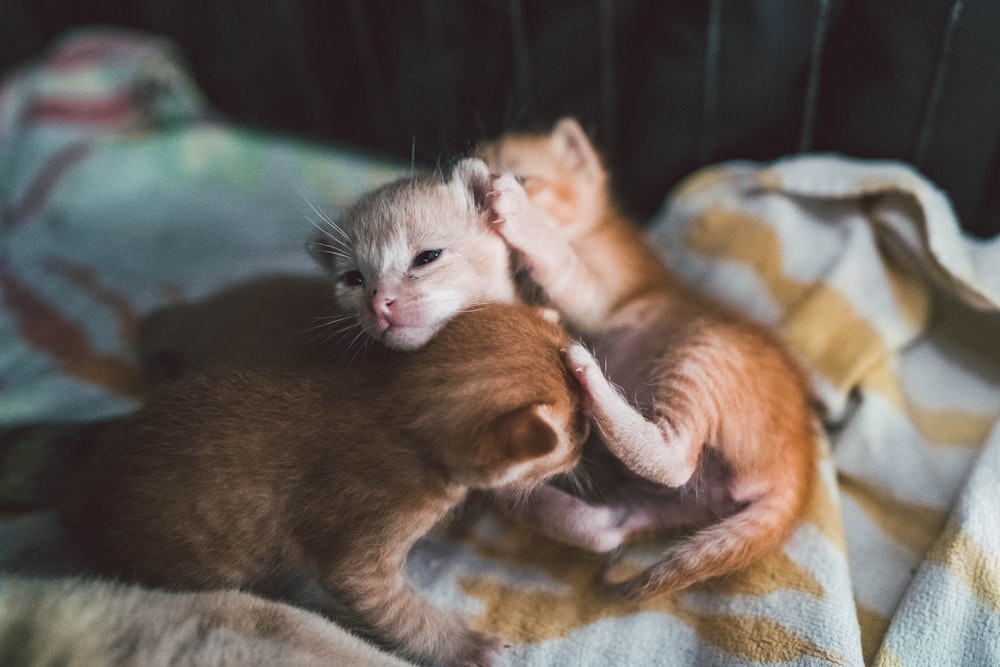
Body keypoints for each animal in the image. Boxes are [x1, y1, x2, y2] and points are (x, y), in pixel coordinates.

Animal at [58, 304, 588, 667]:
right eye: (579, 431)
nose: (586, 450)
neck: (395, 409)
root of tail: (80, 492)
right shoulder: (362, 548)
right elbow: (400, 612)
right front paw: (464, 645)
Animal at [478, 118, 820, 600]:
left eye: (524, 177)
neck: (592, 229)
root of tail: (799, 467)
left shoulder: (604, 293)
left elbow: (566, 267)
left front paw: (520, 213)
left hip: (703, 353)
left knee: (674, 461)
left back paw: (589, 379)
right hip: (675, 506)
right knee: (607, 528)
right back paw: (516, 500)